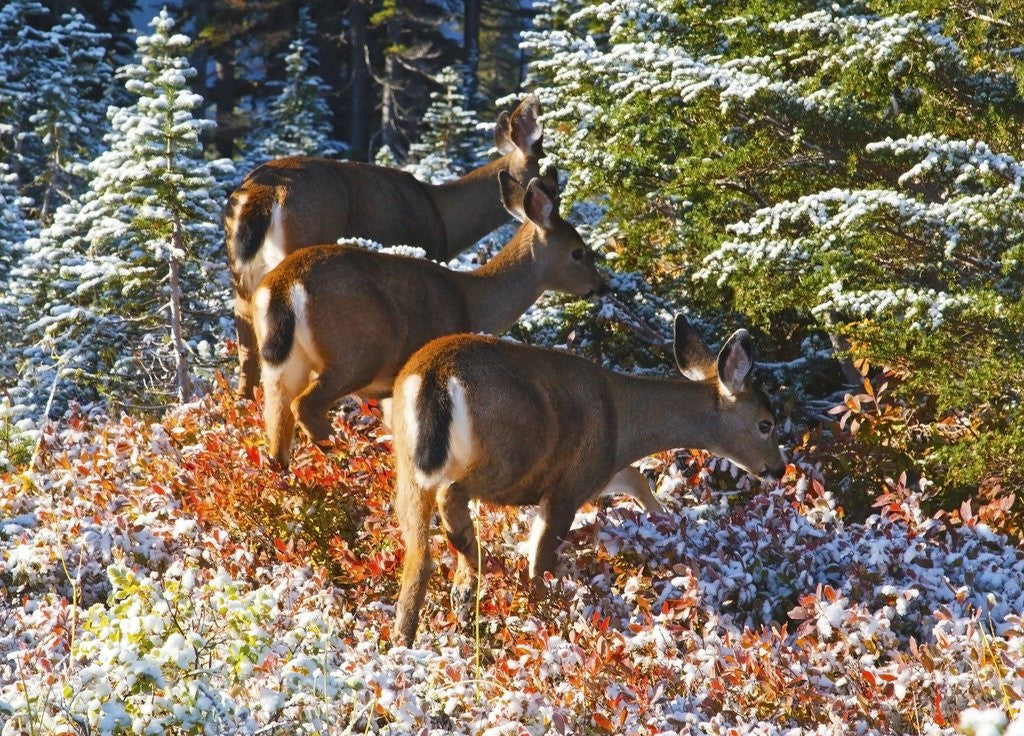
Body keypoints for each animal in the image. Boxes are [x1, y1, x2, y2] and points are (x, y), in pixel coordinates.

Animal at [252, 173, 605, 469]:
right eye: (578, 252)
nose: (602, 285)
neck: (471, 300)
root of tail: (283, 285)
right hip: (355, 353)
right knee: (306, 405)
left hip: (282, 362)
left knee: (276, 426)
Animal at [388, 314, 789, 646]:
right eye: (765, 424)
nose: (778, 468)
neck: (623, 425)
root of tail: (436, 374)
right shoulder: (570, 485)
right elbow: (539, 565)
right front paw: (543, 617)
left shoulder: (600, 472)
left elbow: (636, 479)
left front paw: (665, 522)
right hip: (511, 453)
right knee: (452, 494)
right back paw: (469, 567)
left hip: (408, 468)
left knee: (419, 556)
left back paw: (414, 632)